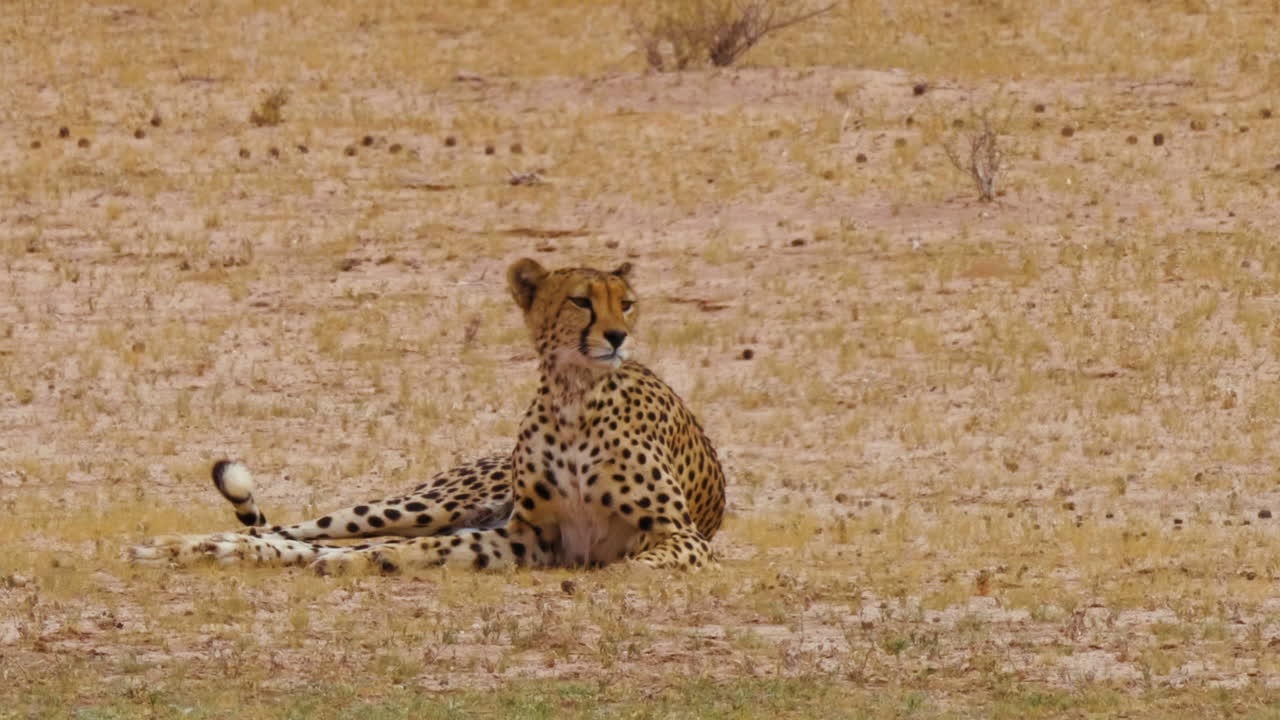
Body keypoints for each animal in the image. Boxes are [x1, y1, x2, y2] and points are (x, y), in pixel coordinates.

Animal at [129, 258, 726, 573]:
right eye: (581, 301)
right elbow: (416, 549)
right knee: (301, 529)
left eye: (626, 303)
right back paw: (188, 545)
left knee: (317, 541)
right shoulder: (526, 537)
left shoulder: (681, 537)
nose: (619, 336)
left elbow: (642, 560)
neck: (574, 397)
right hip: (418, 505)